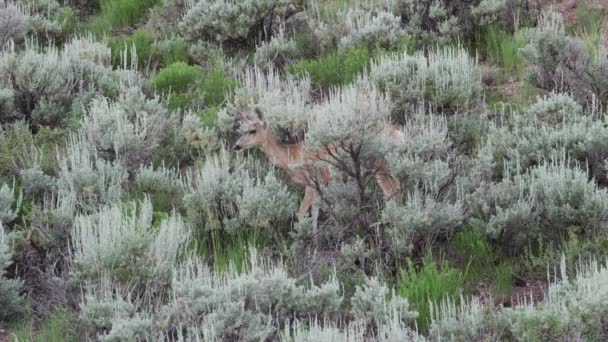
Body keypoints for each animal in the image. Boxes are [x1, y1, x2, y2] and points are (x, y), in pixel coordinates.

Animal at [234, 108, 404, 228]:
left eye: (253, 130)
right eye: (242, 129)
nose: (236, 146)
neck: (290, 157)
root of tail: (398, 134)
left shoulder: (310, 182)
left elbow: (302, 212)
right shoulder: (318, 184)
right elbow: (315, 212)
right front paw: (315, 236)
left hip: (379, 164)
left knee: (391, 190)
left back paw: (386, 223)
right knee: (397, 187)